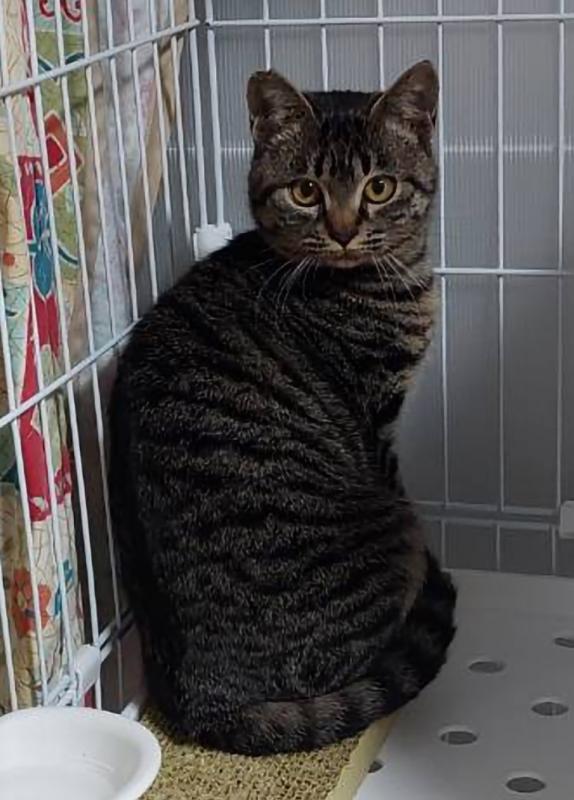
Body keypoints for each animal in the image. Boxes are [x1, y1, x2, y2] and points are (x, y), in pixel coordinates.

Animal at [109, 60, 456, 756]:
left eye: (379, 186)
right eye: (304, 191)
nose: (344, 230)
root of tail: (201, 701)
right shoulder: (376, 423)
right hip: (385, 525)